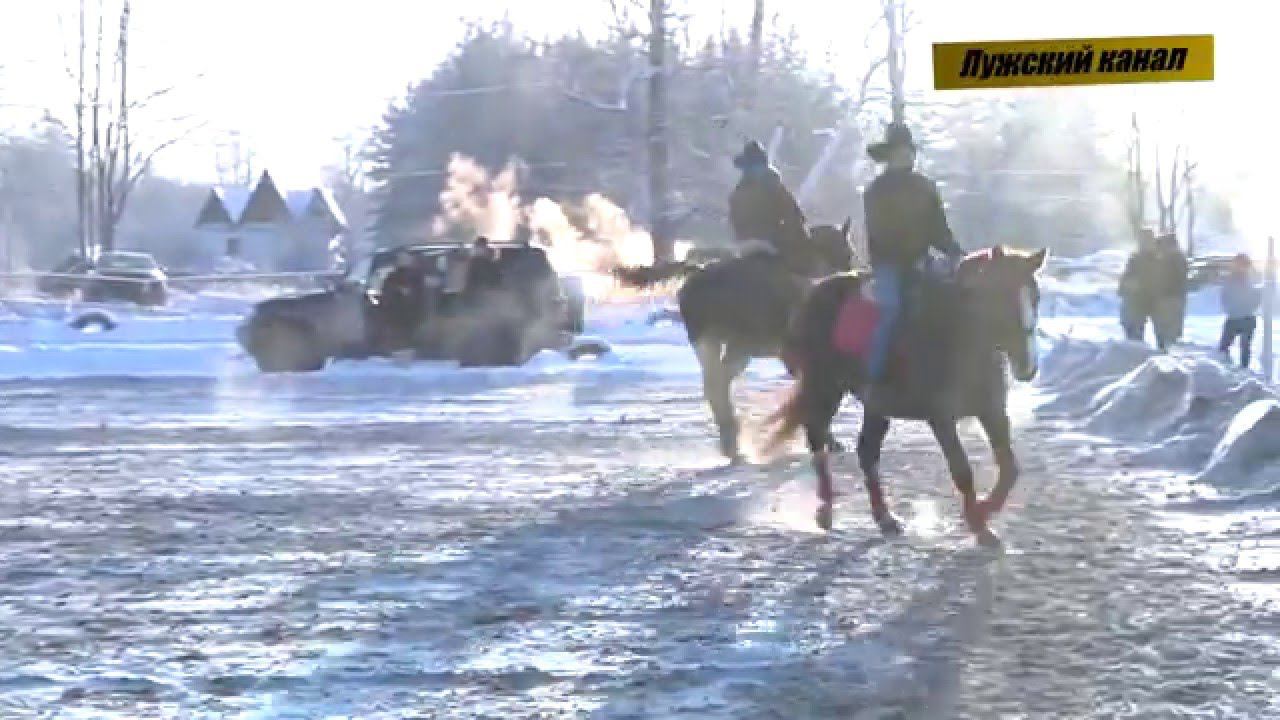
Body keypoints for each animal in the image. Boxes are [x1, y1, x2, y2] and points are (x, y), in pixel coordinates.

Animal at [614, 219, 855, 461]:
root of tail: (698, 273)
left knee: (714, 385)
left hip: (711, 343)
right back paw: (734, 441)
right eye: (845, 250)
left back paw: (731, 441)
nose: (849, 266)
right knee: (718, 385)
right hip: (733, 346)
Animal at [762, 244, 1044, 543]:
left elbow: (1010, 469)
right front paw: (979, 524)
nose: (1028, 367)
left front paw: (984, 512)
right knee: (817, 437)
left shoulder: (992, 411)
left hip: (874, 406)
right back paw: (825, 510)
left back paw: (885, 518)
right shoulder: (941, 419)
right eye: (1000, 297)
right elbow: (962, 471)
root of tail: (814, 293)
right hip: (825, 388)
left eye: (1035, 298)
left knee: (867, 453)